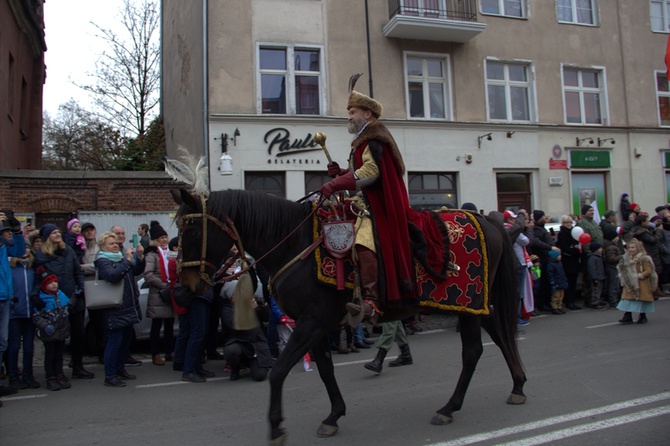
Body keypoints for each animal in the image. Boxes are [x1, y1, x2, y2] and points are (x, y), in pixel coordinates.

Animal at [173, 187, 532, 442]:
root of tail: (486, 220)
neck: (294, 245)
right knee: (500, 336)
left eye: (192, 233)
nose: (184, 289)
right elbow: (325, 370)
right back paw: (517, 386)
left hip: (468, 305)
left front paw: (276, 428)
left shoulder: (311, 322)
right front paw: (333, 416)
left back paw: (449, 407)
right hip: (477, 304)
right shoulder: (315, 324)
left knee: (472, 352)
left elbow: (279, 372)